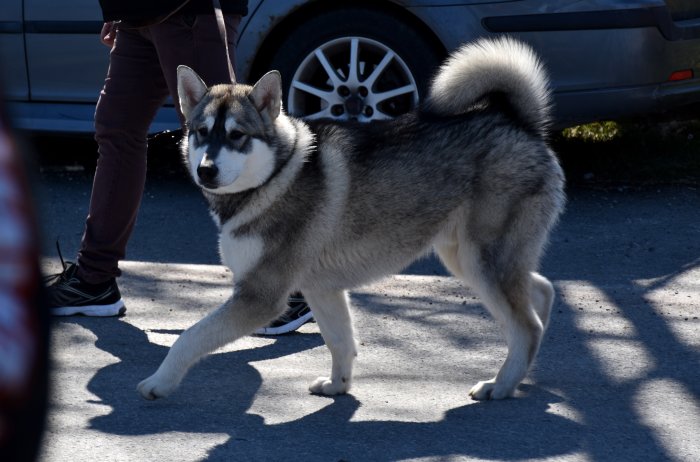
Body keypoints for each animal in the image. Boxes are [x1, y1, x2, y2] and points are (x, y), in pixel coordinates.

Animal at [138, 37, 568, 400]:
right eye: (201, 132)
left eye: (236, 135)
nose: (206, 170)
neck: (273, 177)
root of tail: (520, 124)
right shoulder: (322, 289)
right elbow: (341, 342)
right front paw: (338, 385)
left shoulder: (261, 296)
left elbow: (190, 337)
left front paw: (159, 381)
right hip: (465, 260)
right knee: (540, 294)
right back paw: (526, 368)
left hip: (481, 263)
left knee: (526, 325)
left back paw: (502, 384)